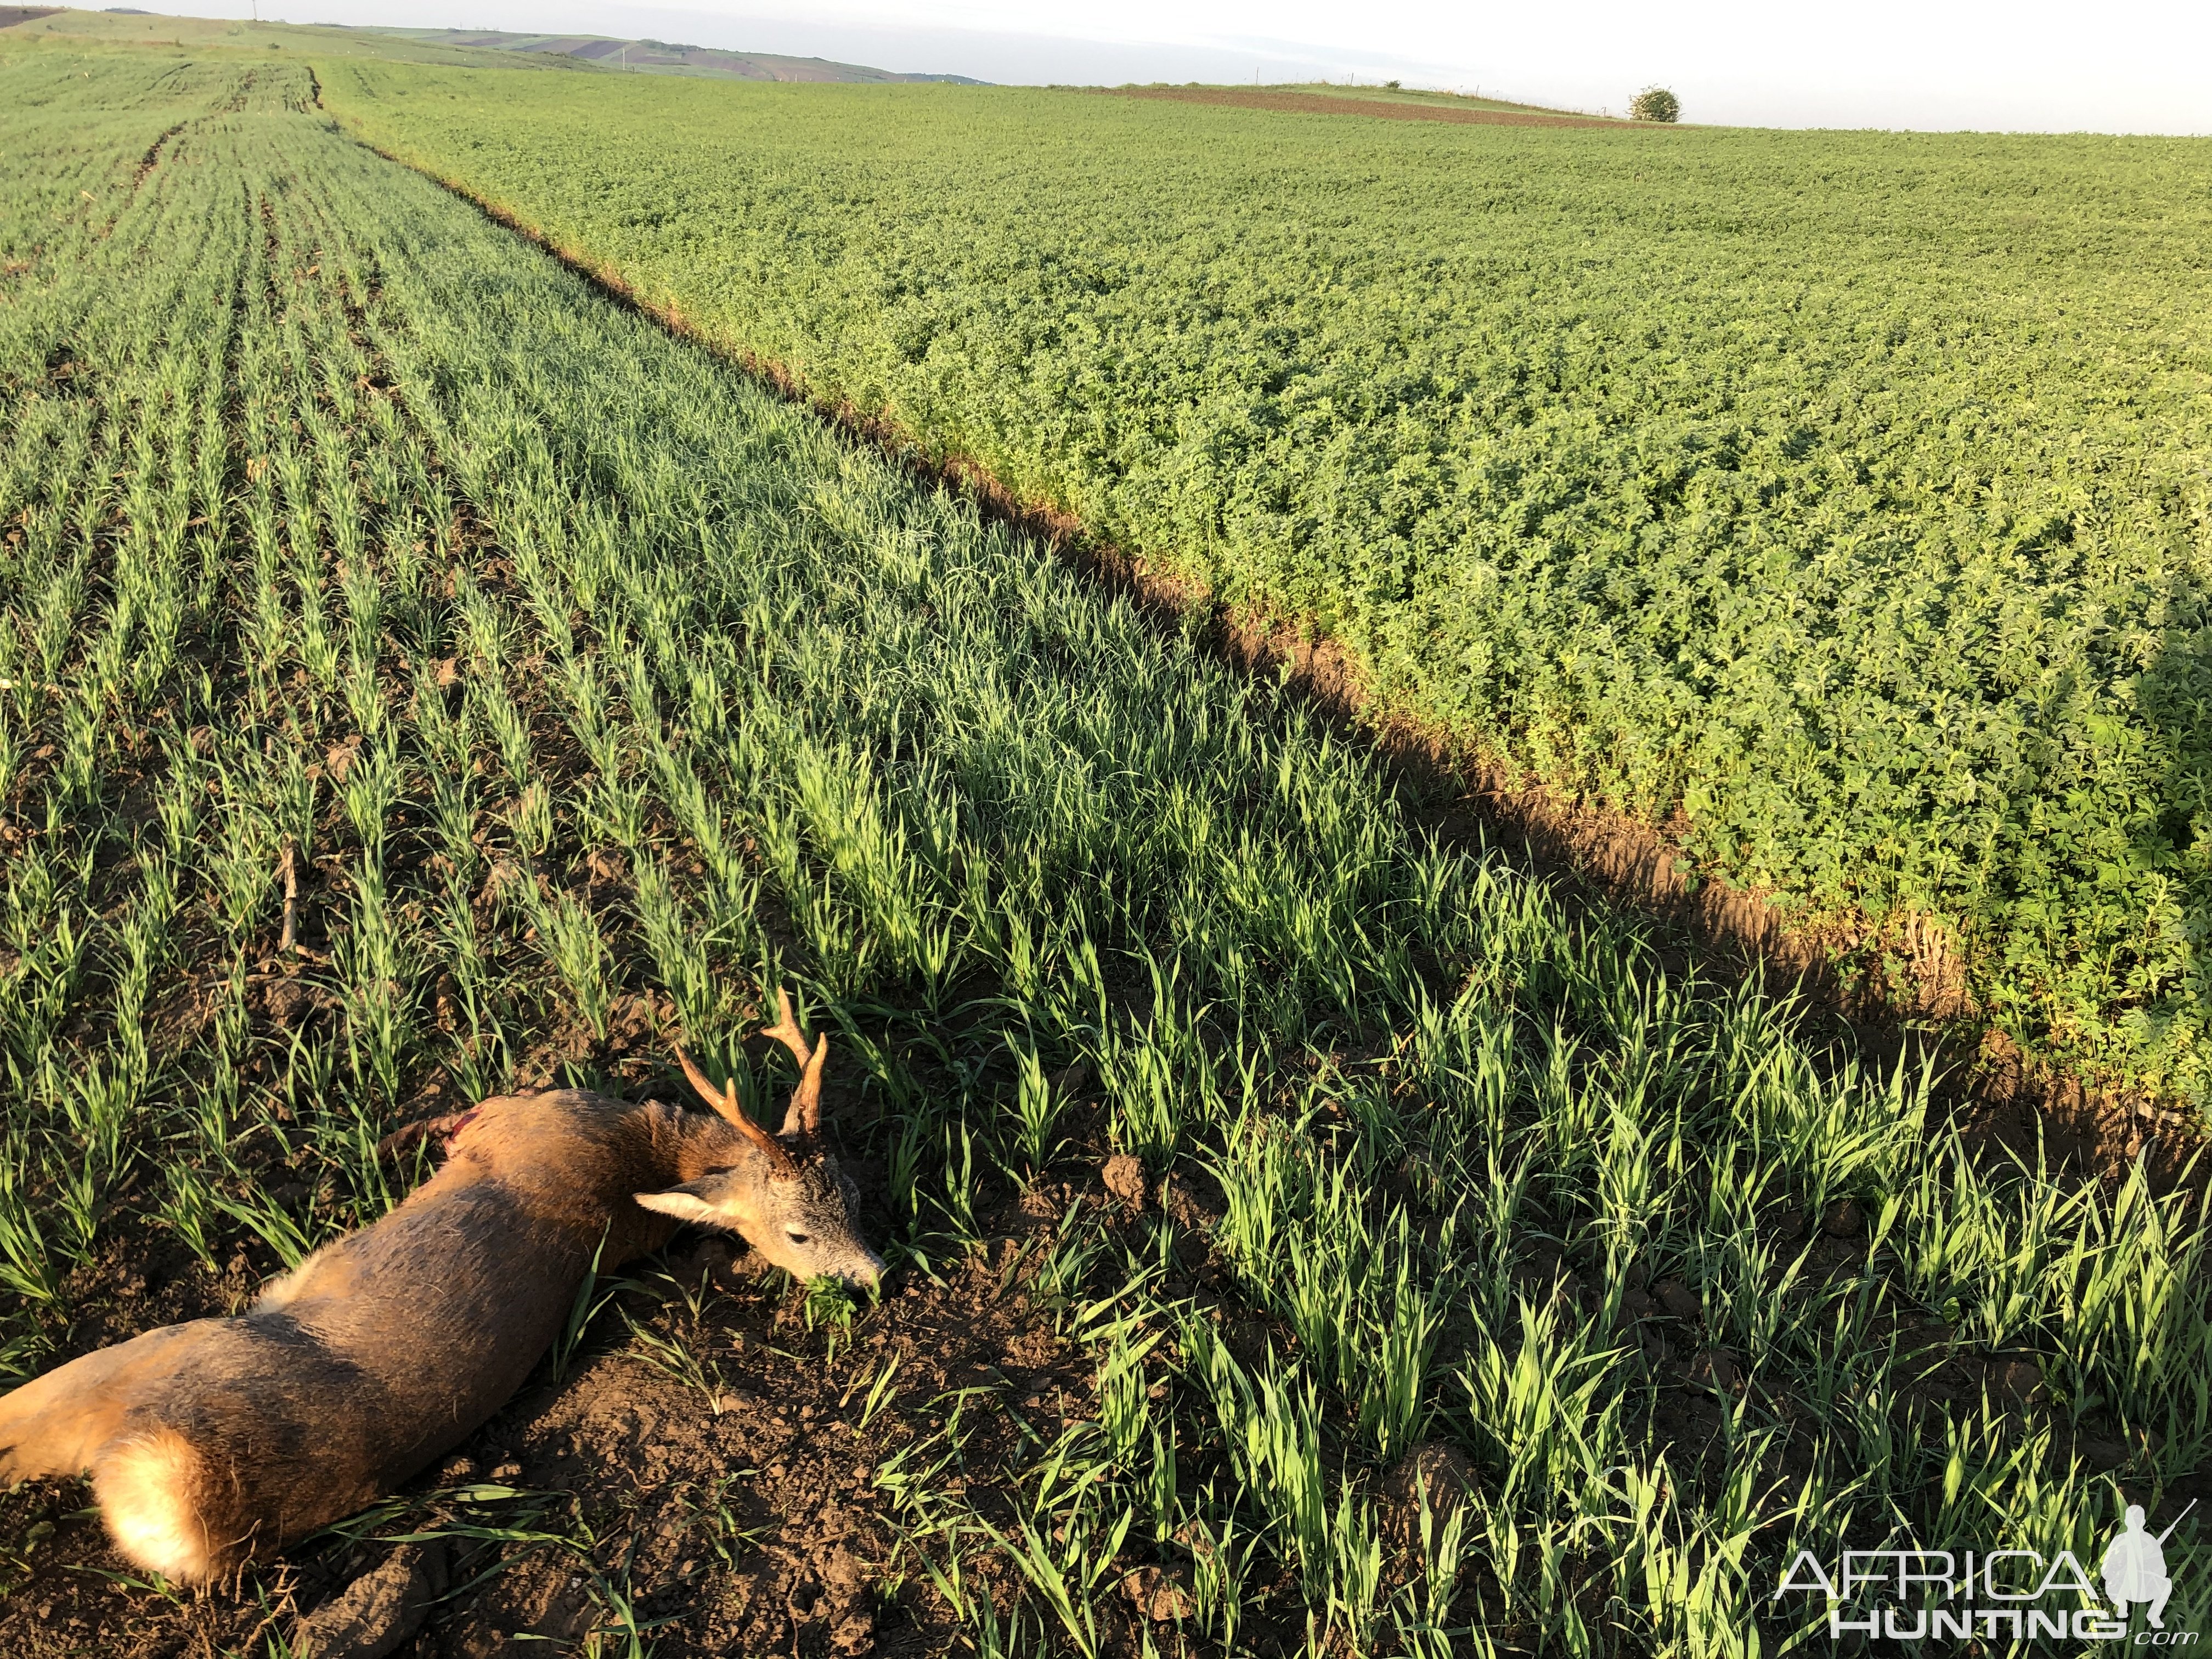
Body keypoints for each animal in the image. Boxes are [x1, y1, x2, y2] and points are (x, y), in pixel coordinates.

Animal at [0, 986, 876, 1583]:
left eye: (846, 1204)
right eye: (815, 1221)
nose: (877, 1275)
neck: (645, 1155)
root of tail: (187, 1515)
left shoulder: (508, 1119)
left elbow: (459, 1117)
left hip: (164, 1359)